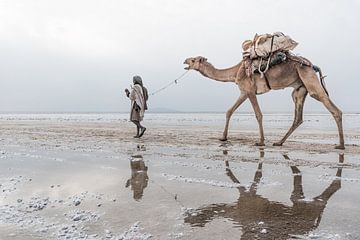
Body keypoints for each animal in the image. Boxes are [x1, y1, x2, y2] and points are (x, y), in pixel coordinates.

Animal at [184, 54, 344, 148]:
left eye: (193, 60)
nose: (184, 60)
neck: (235, 72)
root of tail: (313, 66)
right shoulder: (243, 92)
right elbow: (229, 111)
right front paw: (223, 138)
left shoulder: (249, 90)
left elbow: (258, 114)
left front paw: (260, 141)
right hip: (299, 89)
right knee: (298, 118)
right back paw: (279, 142)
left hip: (309, 80)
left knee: (332, 107)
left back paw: (341, 145)